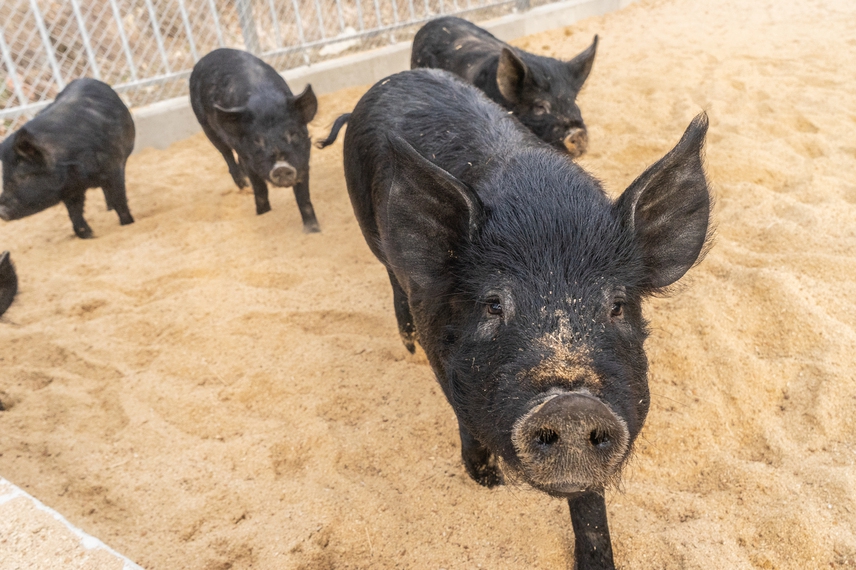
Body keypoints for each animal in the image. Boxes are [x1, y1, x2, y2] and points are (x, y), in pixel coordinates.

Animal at [0, 77, 135, 237]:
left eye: (23, 175)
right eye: (4, 177)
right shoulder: (70, 189)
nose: (2, 211)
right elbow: (74, 213)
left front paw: (128, 223)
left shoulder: (114, 168)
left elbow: (120, 200)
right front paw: (88, 235)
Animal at [189, 46, 320, 229]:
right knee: (227, 155)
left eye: (292, 133)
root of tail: (212, 53)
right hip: (206, 126)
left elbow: (303, 196)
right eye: (257, 140)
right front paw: (262, 214)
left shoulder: (302, 158)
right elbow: (260, 191)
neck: (265, 103)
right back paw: (244, 186)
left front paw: (313, 229)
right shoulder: (248, 158)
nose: (281, 167)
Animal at [324, 69, 712, 564]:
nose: (572, 406)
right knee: (393, 275)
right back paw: (406, 344)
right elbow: (465, 421)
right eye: (494, 305)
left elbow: (589, 503)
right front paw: (488, 483)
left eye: (617, 305)